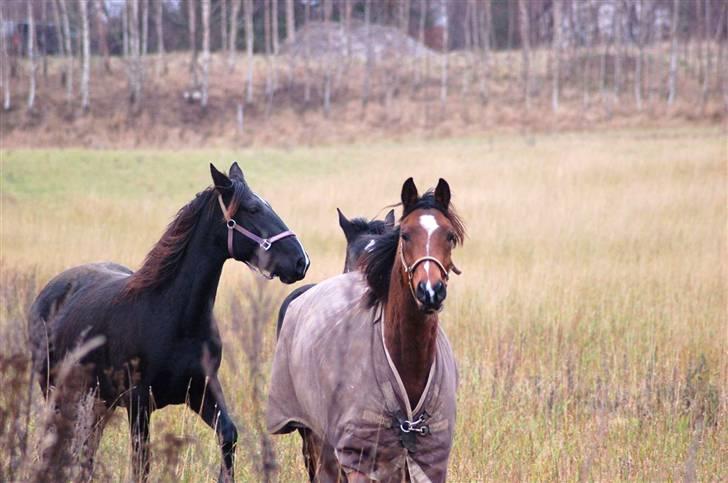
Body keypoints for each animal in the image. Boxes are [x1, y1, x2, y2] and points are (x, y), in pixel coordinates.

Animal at [27, 164, 308, 483]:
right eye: (253, 208)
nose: (301, 261)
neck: (176, 318)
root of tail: (47, 292)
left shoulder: (202, 389)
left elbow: (228, 435)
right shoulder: (138, 402)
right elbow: (141, 463)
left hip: (99, 402)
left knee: (87, 450)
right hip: (59, 394)